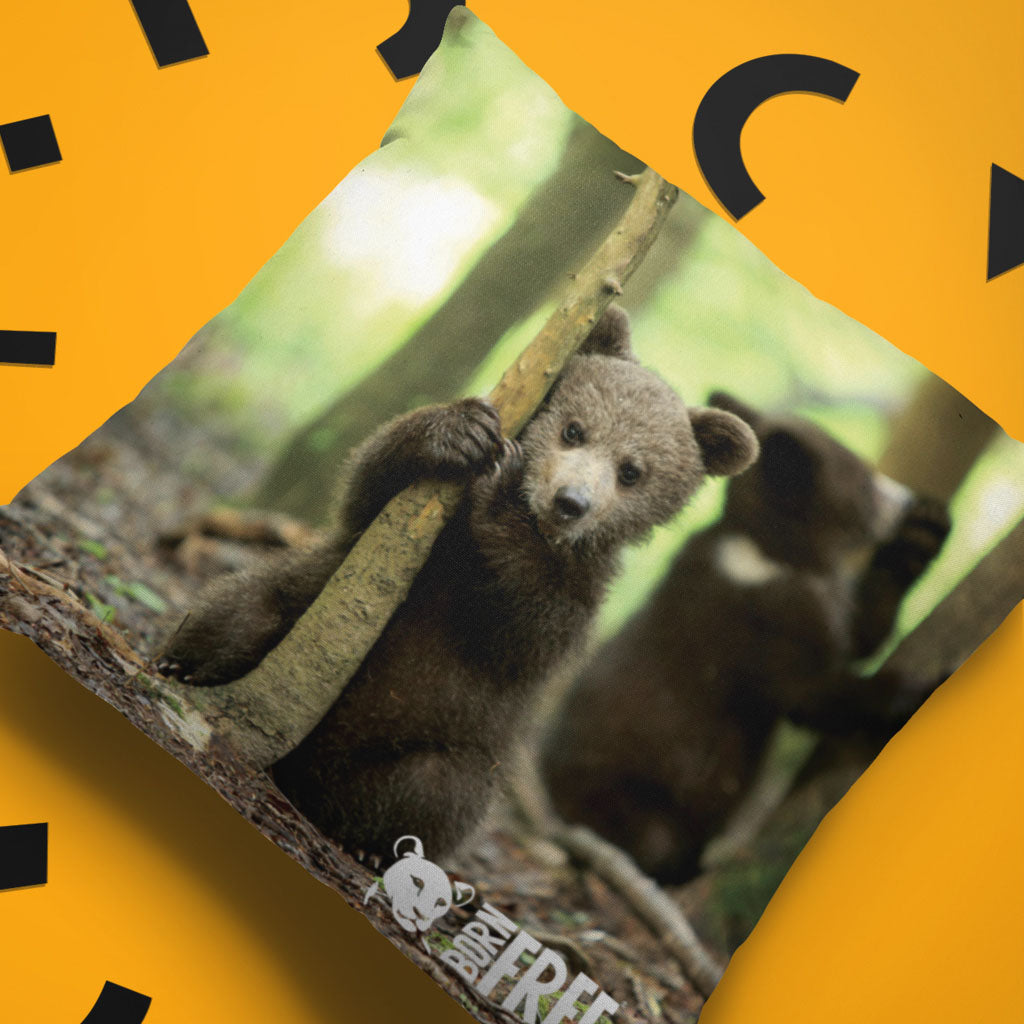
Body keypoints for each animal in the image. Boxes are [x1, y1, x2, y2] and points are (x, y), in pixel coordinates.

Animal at [157, 307, 759, 859]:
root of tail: (303, 765)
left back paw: (367, 842)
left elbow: (528, 630)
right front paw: (459, 433)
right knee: (245, 610)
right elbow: (371, 487)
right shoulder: (415, 539)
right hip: (299, 604)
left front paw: (506, 493)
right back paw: (180, 666)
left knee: (433, 790)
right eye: (575, 429)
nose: (570, 501)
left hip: (439, 741)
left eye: (632, 471)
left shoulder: (575, 593)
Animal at [541, 392, 950, 884]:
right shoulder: (759, 621)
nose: (908, 497)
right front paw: (926, 684)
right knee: (653, 840)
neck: (770, 552)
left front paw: (925, 530)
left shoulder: (816, 600)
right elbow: (815, 691)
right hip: (626, 794)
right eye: (865, 480)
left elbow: (859, 633)